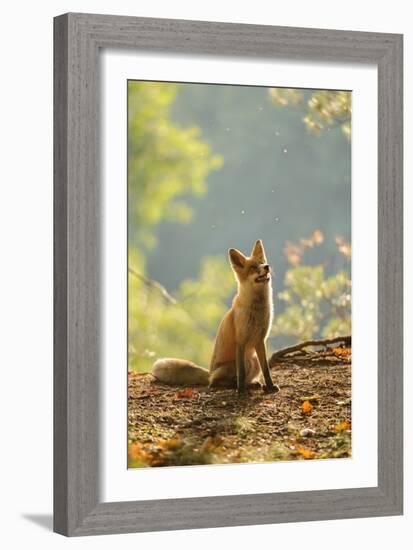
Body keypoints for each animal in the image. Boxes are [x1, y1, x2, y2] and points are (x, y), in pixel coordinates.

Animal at [150, 239, 278, 394]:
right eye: (253, 267)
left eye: (262, 262)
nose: (267, 267)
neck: (257, 310)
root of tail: (210, 372)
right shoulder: (240, 341)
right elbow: (241, 372)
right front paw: (241, 391)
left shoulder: (260, 340)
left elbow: (266, 370)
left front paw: (270, 387)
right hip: (242, 363)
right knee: (215, 383)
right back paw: (236, 386)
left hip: (253, 361)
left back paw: (252, 384)